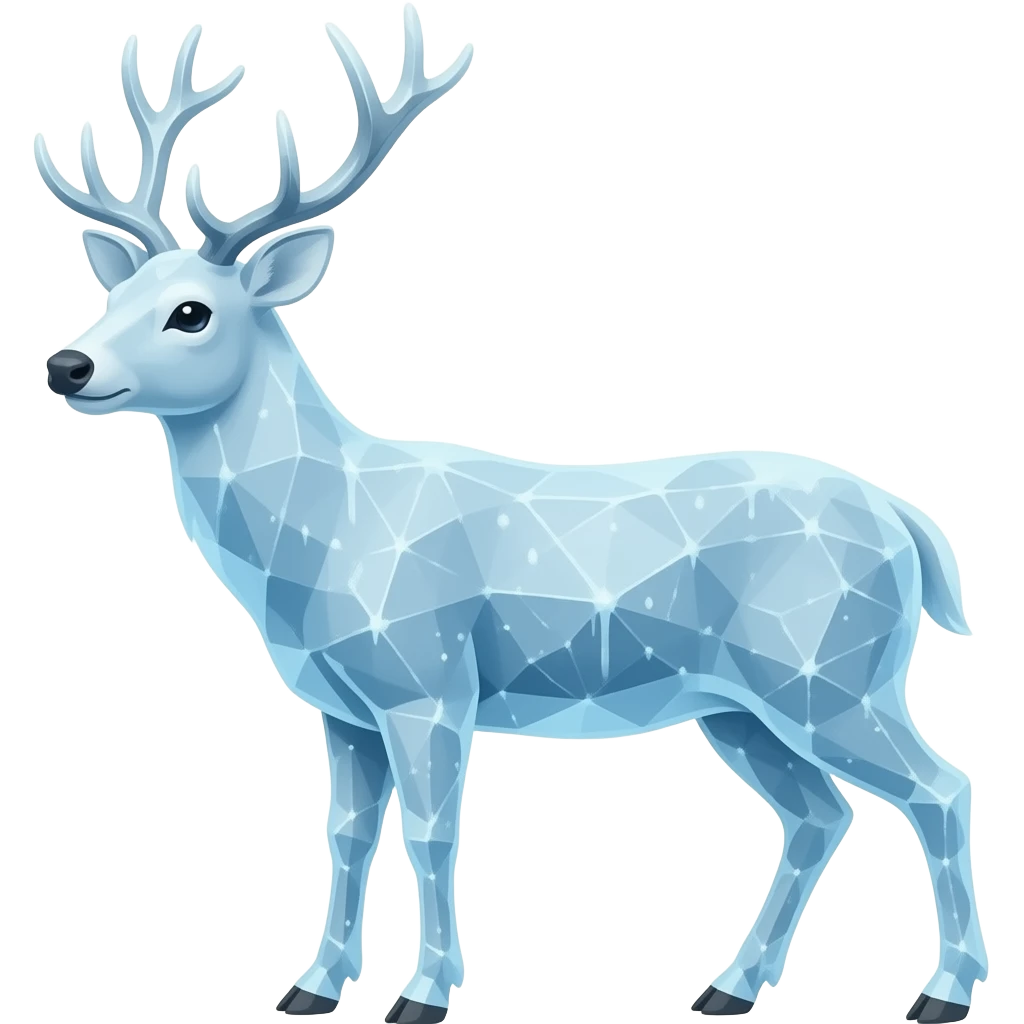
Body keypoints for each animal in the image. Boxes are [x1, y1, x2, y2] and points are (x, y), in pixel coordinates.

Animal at [35, 10, 986, 1023]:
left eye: (191, 313)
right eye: (110, 296)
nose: (68, 364)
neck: (323, 534)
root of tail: (910, 526)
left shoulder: (428, 679)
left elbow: (431, 832)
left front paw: (422, 995)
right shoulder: (341, 705)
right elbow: (345, 835)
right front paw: (312, 987)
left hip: (828, 667)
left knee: (942, 787)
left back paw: (942, 993)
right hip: (744, 701)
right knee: (819, 812)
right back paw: (729, 987)